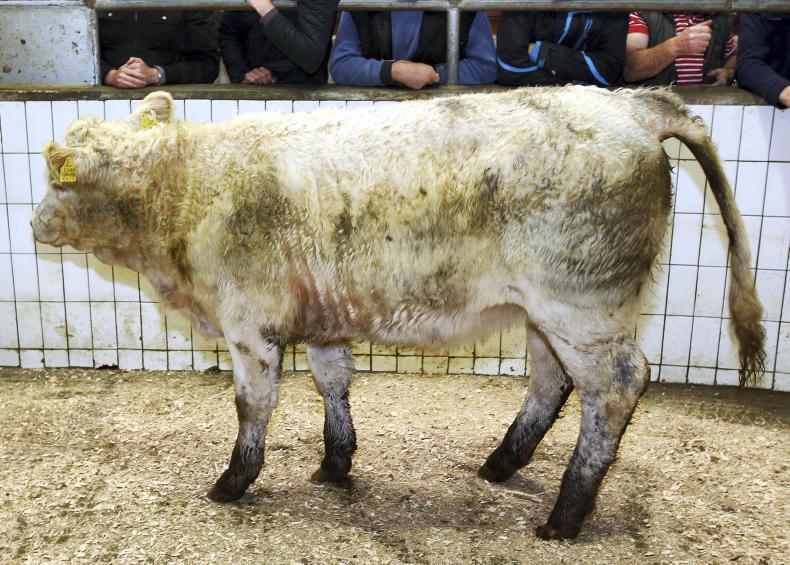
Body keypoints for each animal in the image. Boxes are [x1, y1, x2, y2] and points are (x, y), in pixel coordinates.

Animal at [31, 88, 765, 539]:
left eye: (56, 178)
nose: (35, 223)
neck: (191, 186)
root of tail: (630, 105)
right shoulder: (321, 318)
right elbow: (332, 384)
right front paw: (335, 465)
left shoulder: (249, 325)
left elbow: (252, 407)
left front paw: (233, 481)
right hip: (546, 313)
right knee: (551, 382)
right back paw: (501, 464)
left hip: (581, 305)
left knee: (613, 387)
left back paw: (566, 514)